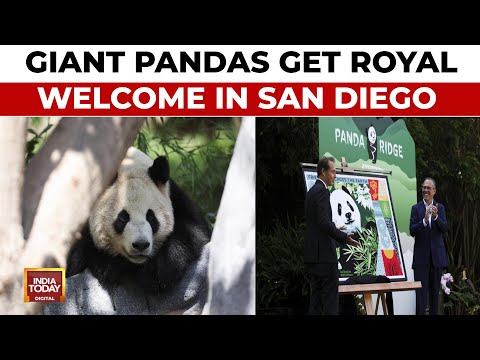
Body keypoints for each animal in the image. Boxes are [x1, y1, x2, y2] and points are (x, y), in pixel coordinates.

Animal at [42, 147, 210, 316]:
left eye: (151, 217)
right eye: (123, 218)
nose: (141, 245)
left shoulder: (176, 198)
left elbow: (194, 232)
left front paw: (161, 271)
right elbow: (78, 259)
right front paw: (113, 267)